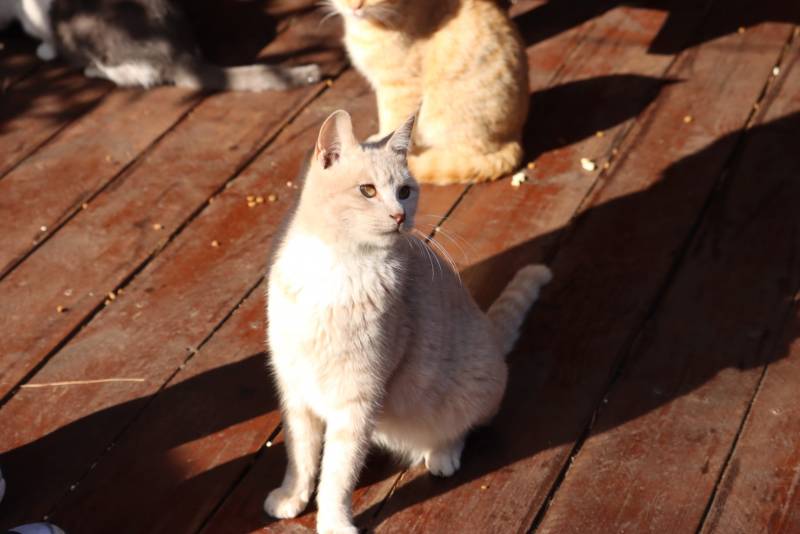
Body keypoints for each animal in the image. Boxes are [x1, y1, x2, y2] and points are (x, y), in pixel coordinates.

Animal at [264, 110, 552, 534]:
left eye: (404, 191)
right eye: (367, 191)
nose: (400, 216)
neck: (337, 268)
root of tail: (489, 333)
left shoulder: (357, 402)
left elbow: (337, 475)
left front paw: (333, 521)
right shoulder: (295, 390)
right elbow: (300, 456)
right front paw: (292, 496)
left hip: (472, 387)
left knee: (462, 427)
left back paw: (442, 453)